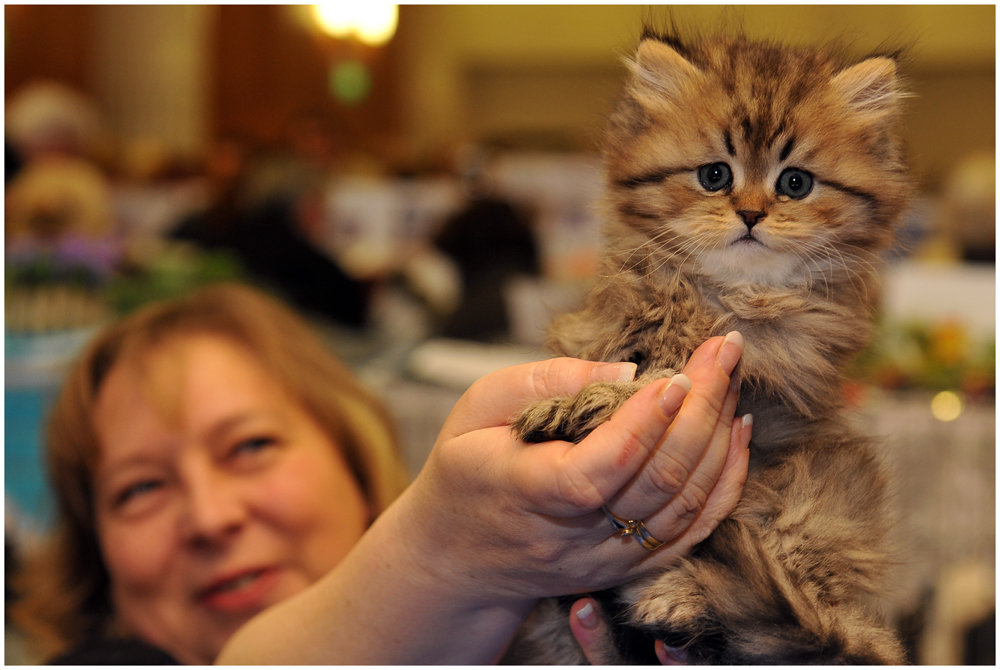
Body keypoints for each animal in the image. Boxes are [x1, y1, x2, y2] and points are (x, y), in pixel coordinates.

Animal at [504, 30, 912, 668]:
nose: (750, 214)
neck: (713, 292)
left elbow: (665, 382)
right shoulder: (600, 329)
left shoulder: (762, 373)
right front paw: (571, 401)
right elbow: (625, 366)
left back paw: (675, 595)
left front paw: (594, 404)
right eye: (715, 175)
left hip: (824, 489)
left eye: (795, 183)